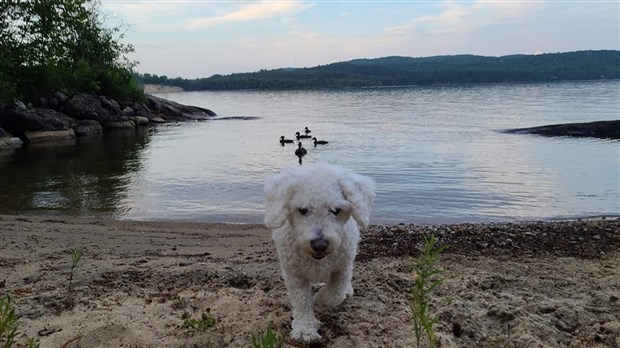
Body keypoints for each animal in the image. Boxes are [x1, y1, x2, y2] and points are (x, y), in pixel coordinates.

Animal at [264, 163, 376, 342]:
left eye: (336, 210)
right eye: (302, 210)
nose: (320, 244)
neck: (317, 260)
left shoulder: (342, 267)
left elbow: (335, 294)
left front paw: (321, 299)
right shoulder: (294, 275)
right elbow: (302, 301)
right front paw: (305, 330)